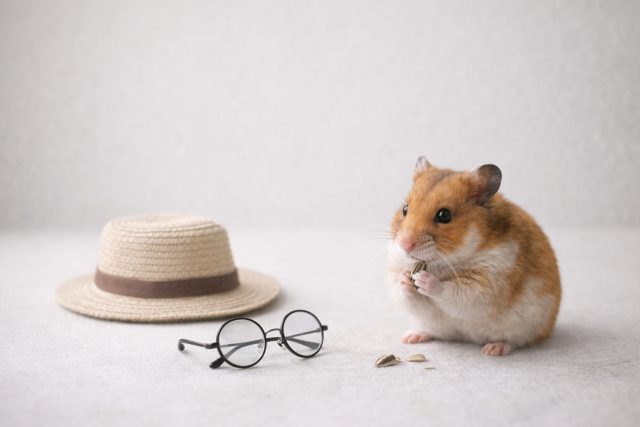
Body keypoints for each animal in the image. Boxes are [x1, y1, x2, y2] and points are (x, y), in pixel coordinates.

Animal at [388, 157, 561, 356]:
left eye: (444, 215)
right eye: (405, 209)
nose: (405, 244)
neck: (442, 262)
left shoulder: (488, 282)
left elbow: (451, 290)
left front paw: (425, 279)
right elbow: (404, 292)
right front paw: (405, 278)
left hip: (530, 326)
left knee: (516, 341)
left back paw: (493, 349)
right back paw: (411, 337)